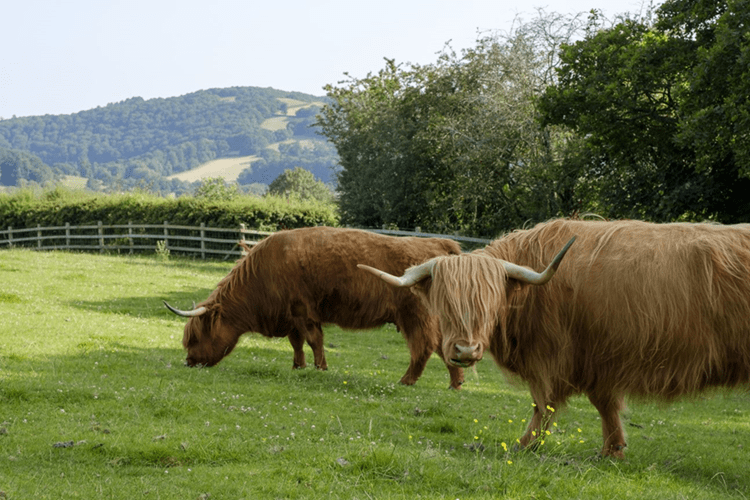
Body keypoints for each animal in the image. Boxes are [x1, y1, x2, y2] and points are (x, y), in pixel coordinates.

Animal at [167, 227, 468, 386]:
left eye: (194, 337)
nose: (189, 362)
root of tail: (440, 244)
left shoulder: (303, 311)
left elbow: (314, 341)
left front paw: (320, 368)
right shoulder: (291, 317)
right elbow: (297, 343)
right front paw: (298, 366)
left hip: (415, 316)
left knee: (423, 346)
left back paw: (407, 380)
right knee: (444, 347)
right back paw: (456, 384)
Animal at [358, 219, 750, 458]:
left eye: (490, 302)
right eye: (444, 301)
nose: (465, 350)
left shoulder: (554, 356)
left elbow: (543, 404)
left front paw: (524, 445)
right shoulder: (597, 362)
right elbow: (604, 405)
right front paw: (613, 450)